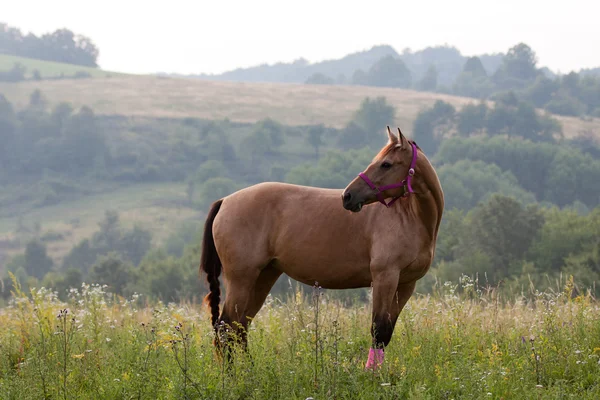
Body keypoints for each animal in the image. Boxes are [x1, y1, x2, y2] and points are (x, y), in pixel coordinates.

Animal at [199, 126, 442, 370]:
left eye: (386, 164)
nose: (348, 196)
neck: (410, 217)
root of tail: (225, 201)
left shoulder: (406, 284)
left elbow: (386, 333)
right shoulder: (385, 278)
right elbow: (378, 330)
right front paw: (371, 374)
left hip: (263, 277)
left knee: (240, 326)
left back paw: (250, 371)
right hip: (241, 279)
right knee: (226, 327)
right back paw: (233, 375)